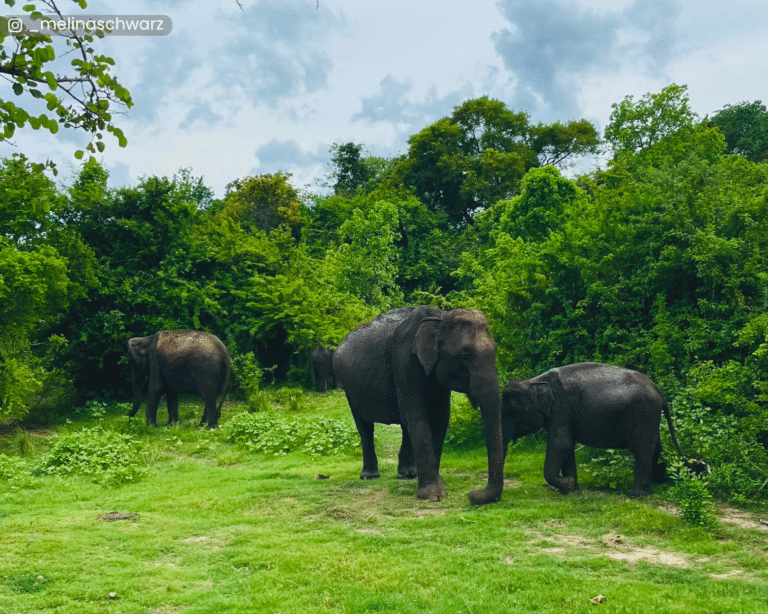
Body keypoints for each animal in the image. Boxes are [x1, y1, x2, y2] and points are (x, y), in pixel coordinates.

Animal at [333, 306, 505, 504]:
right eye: (464, 355)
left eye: (496, 351)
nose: (472, 494)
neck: (440, 319)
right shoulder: (404, 361)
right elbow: (418, 416)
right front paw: (432, 495)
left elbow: (440, 418)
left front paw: (437, 486)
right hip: (349, 388)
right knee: (365, 426)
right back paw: (370, 476)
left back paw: (408, 474)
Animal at [501, 362, 683, 497]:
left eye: (511, 413)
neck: (534, 381)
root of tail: (656, 387)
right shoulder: (564, 414)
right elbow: (567, 446)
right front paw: (571, 488)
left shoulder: (561, 409)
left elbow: (561, 444)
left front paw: (567, 484)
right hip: (651, 417)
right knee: (656, 447)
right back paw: (658, 481)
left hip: (644, 413)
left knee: (641, 449)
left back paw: (636, 494)